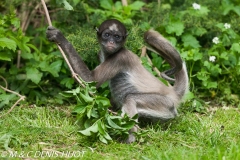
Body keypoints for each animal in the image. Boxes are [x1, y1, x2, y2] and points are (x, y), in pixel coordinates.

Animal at [46, 19, 188, 143]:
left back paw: (131, 139)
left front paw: (60, 38)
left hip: (165, 104)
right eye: (107, 35)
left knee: (130, 99)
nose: (111, 42)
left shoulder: (120, 57)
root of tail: (172, 93)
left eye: (117, 37)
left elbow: (90, 79)